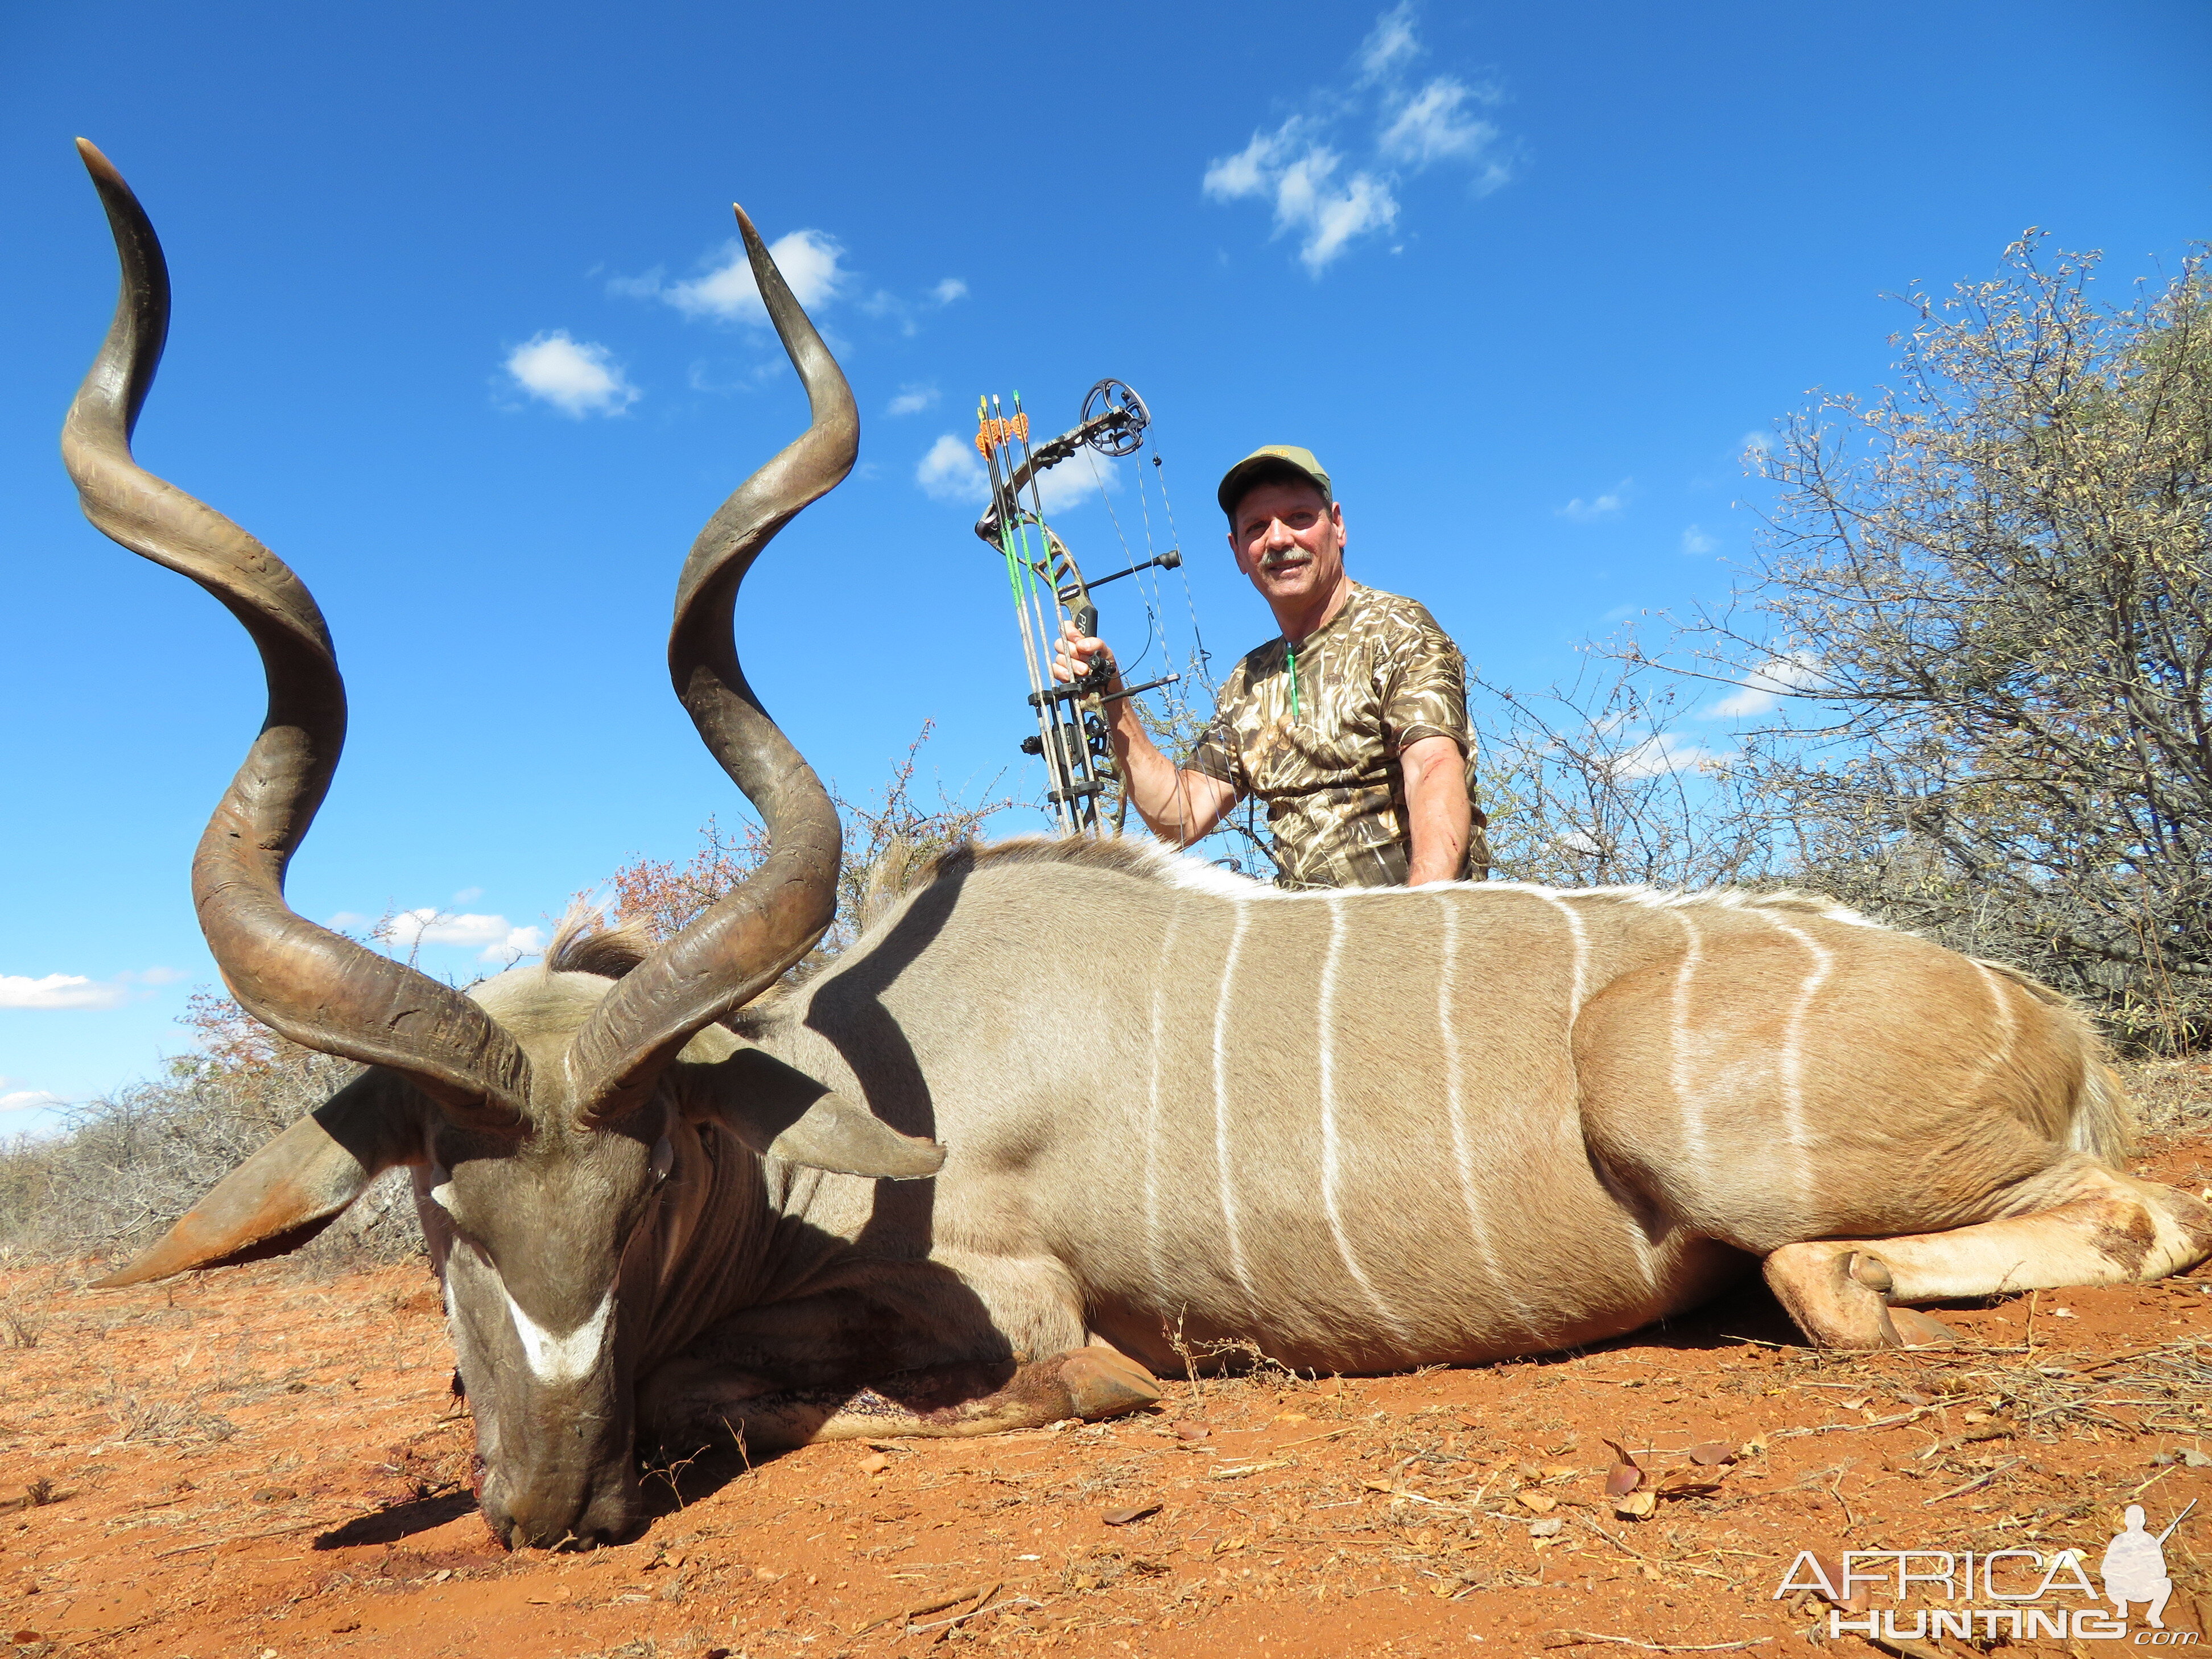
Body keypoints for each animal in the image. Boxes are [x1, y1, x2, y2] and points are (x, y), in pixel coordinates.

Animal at [69, 146, 2212, 1557]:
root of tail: (2048, 1022)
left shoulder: (1004, 1313)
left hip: (1723, 1145)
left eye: (649, 1170)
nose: (551, 1503)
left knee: (2043, 1237)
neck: (827, 1123)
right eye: (435, 1201)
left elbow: (915, 1386)